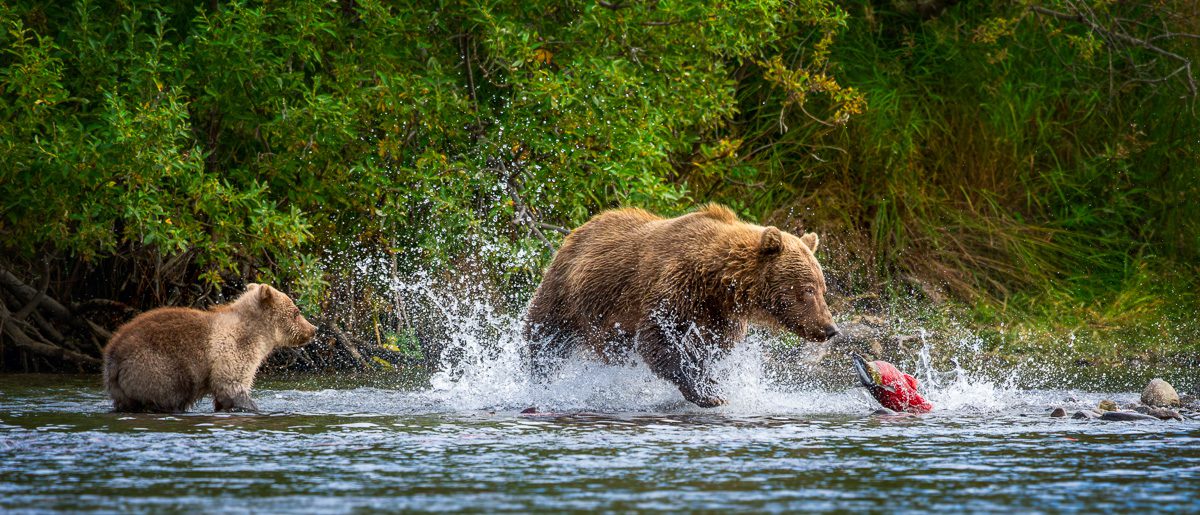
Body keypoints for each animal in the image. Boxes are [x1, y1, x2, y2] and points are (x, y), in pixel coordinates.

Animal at [103, 283, 317, 413]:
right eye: (296, 312)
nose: (313, 329)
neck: (260, 334)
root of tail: (114, 355)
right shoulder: (234, 350)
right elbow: (232, 385)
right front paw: (253, 407)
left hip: (122, 386)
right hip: (155, 367)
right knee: (168, 394)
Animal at [523, 204, 838, 407]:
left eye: (823, 288)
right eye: (808, 290)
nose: (830, 328)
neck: (719, 282)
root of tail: (576, 231)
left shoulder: (720, 317)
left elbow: (712, 349)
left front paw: (711, 381)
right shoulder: (676, 288)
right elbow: (659, 340)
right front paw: (709, 392)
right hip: (566, 295)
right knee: (543, 339)